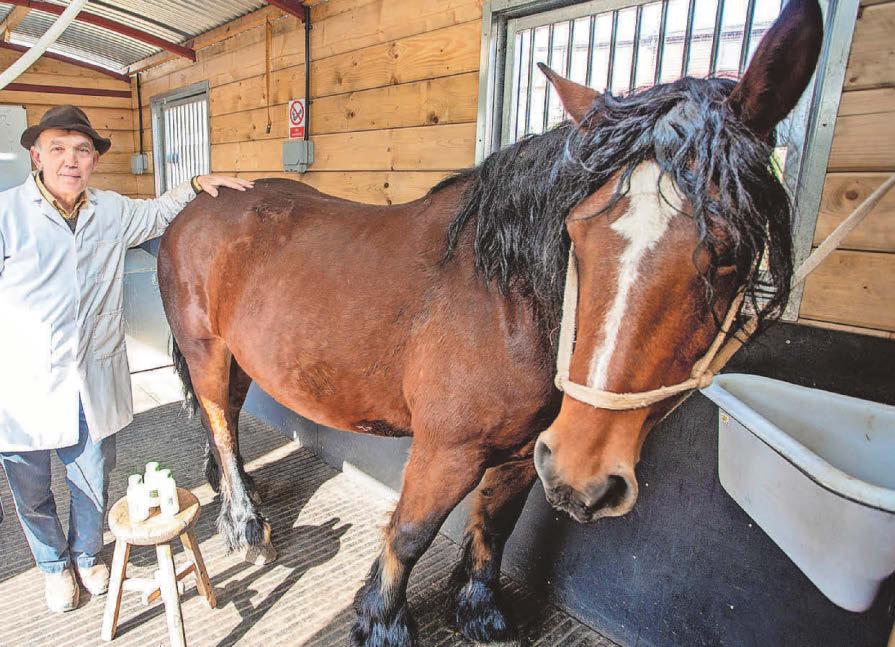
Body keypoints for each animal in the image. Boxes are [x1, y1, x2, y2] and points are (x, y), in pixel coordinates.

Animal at [157, 1, 822, 644]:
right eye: (576, 233)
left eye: (730, 253)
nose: (584, 474)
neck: (507, 302)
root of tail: (193, 208)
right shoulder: (448, 450)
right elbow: (411, 533)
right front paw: (382, 621)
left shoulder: (525, 453)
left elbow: (495, 528)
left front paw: (479, 612)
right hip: (206, 350)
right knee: (218, 418)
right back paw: (245, 525)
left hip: (240, 357)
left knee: (228, 419)